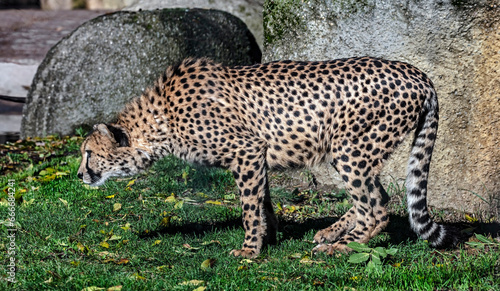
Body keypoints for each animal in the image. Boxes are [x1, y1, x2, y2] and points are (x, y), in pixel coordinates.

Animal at [79, 56, 460, 258]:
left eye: (88, 154)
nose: (79, 176)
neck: (161, 120)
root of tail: (418, 74)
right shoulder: (255, 156)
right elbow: (262, 201)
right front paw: (269, 236)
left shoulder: (246, 150)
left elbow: (248, 207)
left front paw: (249, 250)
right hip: (362, 151)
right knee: (376, 195)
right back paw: (330, 233)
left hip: (349, 148)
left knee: (377, 205)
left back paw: (342, 246)